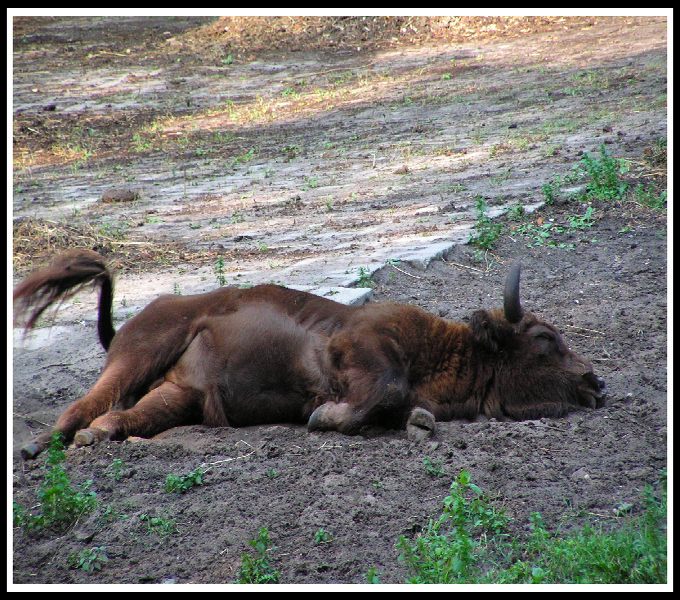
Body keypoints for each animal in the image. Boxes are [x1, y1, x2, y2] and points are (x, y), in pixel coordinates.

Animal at [13, 248, 604, 460]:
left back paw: (98, 438)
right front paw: (325, 417)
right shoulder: (362, 343)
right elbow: (383, 389)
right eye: (544, 339)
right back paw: (39, 446)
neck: (443, 350)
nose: (595, 382)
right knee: (86, 403)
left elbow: (399, 406)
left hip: (181, 394)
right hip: (141, 353)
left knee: (123, 415)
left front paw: (416, 422)